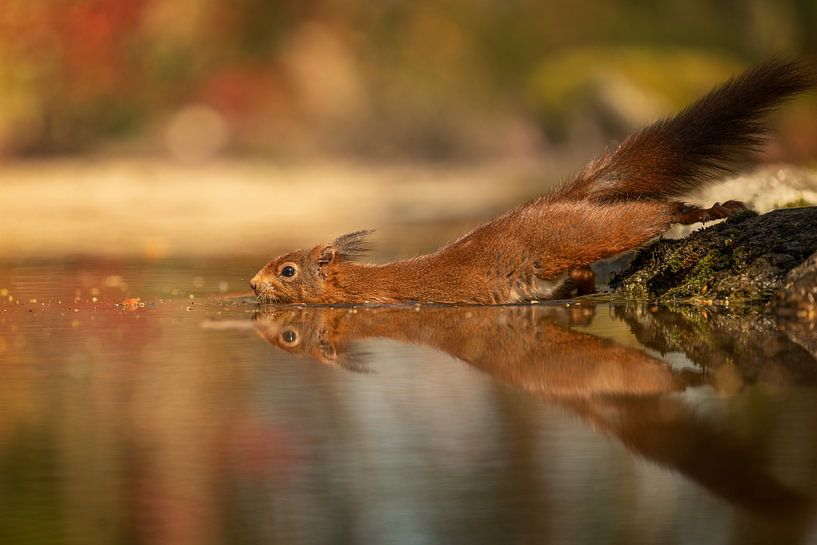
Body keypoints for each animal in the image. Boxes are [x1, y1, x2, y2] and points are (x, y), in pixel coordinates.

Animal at [250, 60, 815, 305]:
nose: (252, 285)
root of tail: (558, 199)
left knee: (651, 213)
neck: (357, 282)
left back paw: (713, 210)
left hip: (583, 233)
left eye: (287, 271)